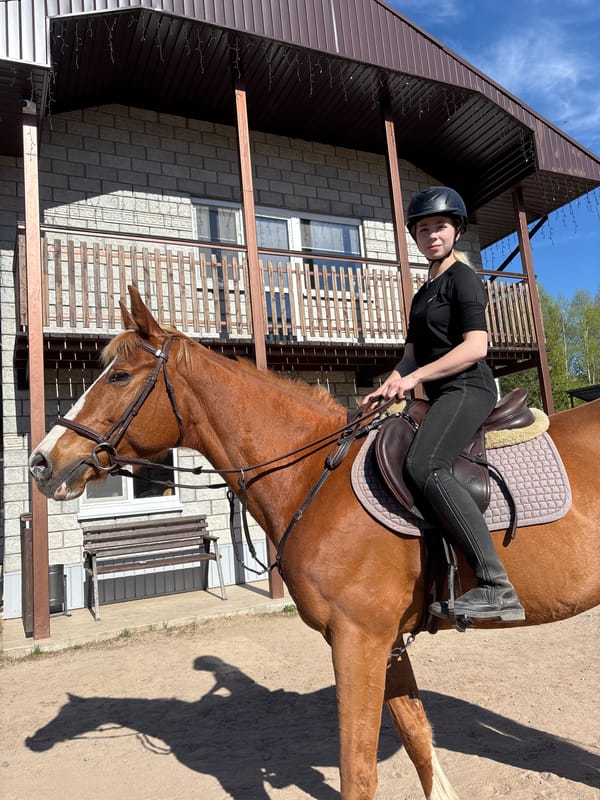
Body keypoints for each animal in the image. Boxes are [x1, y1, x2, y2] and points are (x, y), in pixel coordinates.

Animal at [29, 286, 600, 800]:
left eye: (119, 376)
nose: (41, 462)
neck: (314, 477)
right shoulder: (382, 641)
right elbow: (416, 735)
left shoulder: (358, 639)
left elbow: (358, 773)